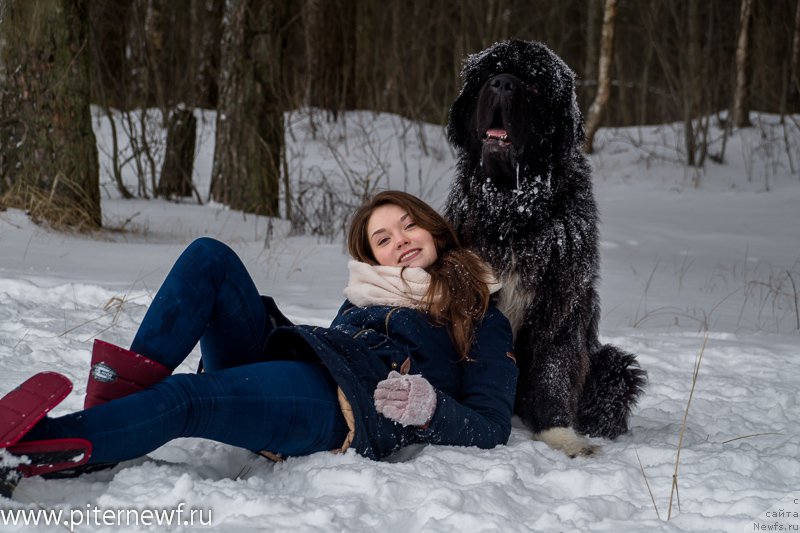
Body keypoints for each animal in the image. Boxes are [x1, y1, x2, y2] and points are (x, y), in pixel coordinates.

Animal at [446, 39, 648, 456]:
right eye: (491, 74)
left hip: (613, 366)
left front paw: (562, 436)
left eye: (535, 86)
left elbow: (553, 372)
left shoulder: (561, 303)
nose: (503, 83)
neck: (513, 209)